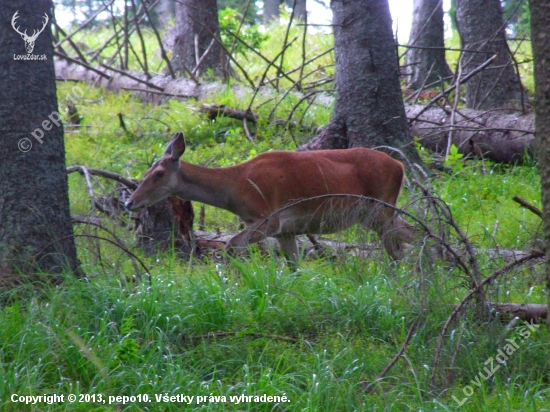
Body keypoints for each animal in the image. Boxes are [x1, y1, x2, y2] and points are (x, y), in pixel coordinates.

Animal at [126, 134, 414, 266]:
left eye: (159, 173)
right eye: (147, 171)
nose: (130, 202)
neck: (235, 189)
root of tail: (400, 167)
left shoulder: (269, 218)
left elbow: (231, 244)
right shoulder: (285, 230)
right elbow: (294, 265)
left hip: (381, 208)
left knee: (398, 250)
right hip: (375, 215)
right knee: (412, 236)